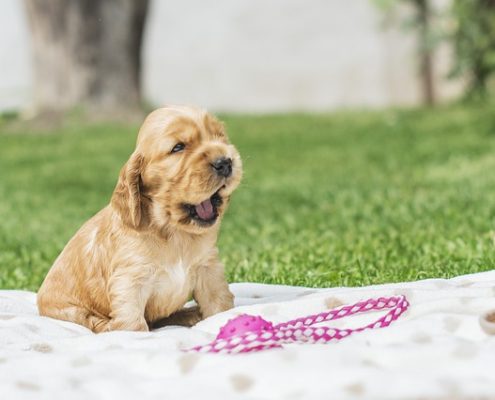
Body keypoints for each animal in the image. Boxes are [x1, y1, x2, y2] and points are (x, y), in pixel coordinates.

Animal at [36, 105, 242, 332]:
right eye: (178, 147)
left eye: (219, 136)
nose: (225, 162)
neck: (173, 232)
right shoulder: (130, 280)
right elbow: (133, 323)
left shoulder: (208, 268)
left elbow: (219, 304)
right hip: (69, 310)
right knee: (91, 320)